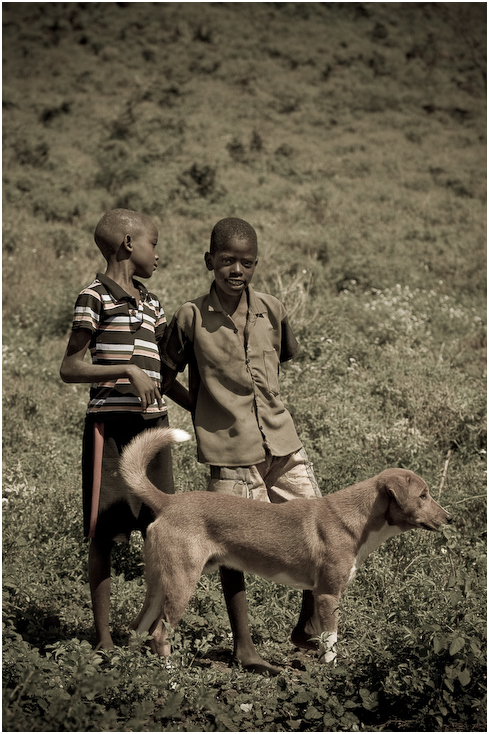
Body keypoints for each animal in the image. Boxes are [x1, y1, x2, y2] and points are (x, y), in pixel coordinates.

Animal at [120, 428, 452, 664]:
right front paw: (332, 674)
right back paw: (171, 678)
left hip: (159, 583)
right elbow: (331, 644)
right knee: (160, 635)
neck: (358, 520)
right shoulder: (329, 594)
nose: (450, 517)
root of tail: (169, 501)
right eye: (423, 496)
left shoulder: (317, 591)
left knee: (137, 629)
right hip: (182, 583)